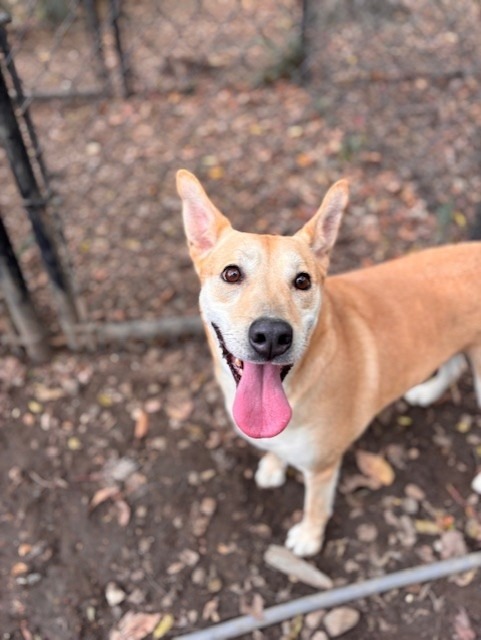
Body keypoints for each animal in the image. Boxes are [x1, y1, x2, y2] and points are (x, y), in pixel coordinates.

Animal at [175, 170, 480, 556]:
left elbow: (316, 506)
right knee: (454, 366)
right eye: (232, 274)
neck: (296, 387)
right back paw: (426, 392)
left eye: (302, 281)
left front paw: (309, 537)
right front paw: (273, 465)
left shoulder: (323, 467)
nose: (272, 335)